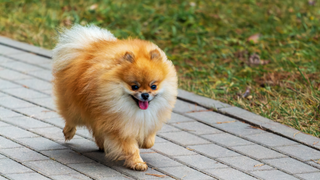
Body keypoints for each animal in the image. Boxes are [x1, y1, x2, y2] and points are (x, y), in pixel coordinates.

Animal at [52, 24, 178, 171]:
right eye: (134, 86)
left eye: (153, 86)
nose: (145, 95)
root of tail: (87, 47)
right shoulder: (120, 126)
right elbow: (131, 147)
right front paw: (137, 163)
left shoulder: (148, 119)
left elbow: (149, 140)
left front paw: (144, 143)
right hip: (75, 106)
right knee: (71, 118)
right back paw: (69, 132)